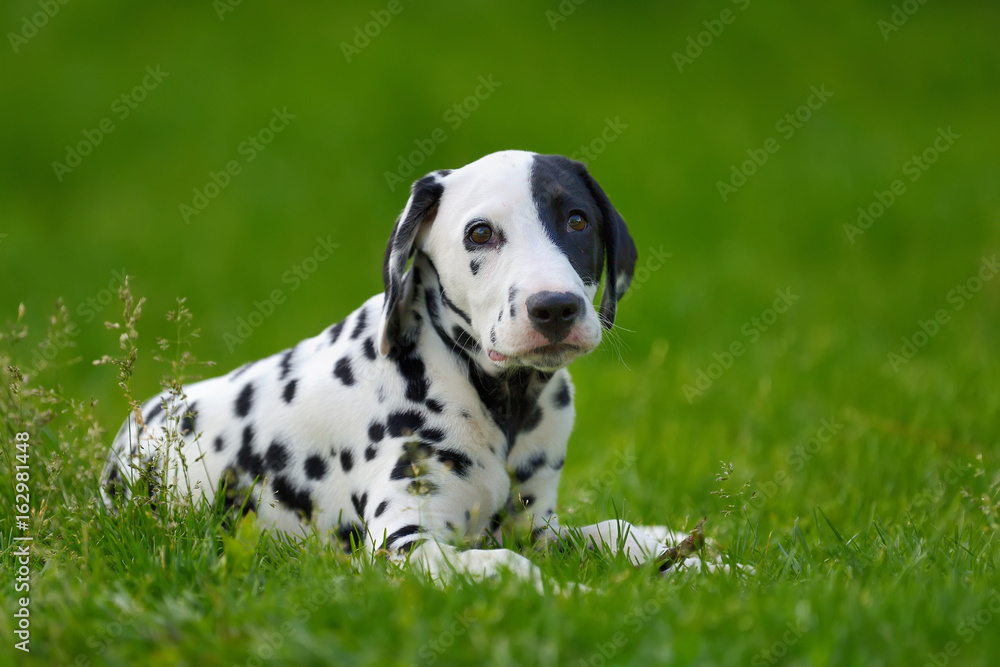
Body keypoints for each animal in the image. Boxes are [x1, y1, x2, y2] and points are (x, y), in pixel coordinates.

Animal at [99, 150, 712, 584]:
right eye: (480, 233)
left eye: (578, 221)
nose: (555, 307)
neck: (500, 401)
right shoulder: (406, 543)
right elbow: (514, 569)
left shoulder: (534, 526)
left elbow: (613, 533)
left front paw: (698, 562)